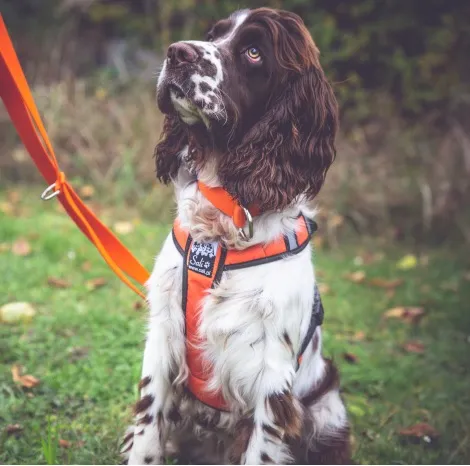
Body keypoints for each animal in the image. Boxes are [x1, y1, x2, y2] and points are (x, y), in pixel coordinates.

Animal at [121, 7, 348, 466]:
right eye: (214, 35)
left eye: (254, 52)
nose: (177, 52)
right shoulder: (163, 335)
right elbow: (148, 428)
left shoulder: (273, 376)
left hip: (329, 410)